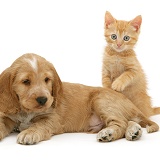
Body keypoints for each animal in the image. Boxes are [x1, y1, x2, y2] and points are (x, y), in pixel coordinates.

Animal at [0, 53, 159, 144]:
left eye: (47, 80)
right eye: (26, 81)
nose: (43, 100)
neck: (25, 111)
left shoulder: (52, 118)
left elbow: (39, 124)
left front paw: (29, 133)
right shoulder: (7, 116)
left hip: (101, 100)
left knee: (121, 123)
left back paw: (109, 134)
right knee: (128, 121)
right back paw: (134, 132)